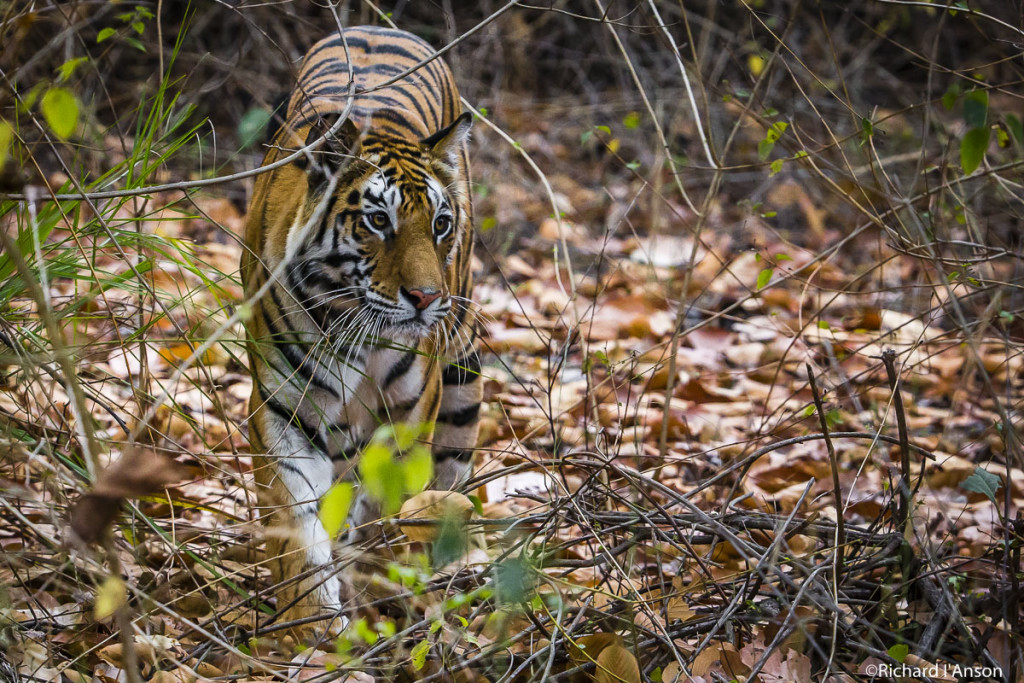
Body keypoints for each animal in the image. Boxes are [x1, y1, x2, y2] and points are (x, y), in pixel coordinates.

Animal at [239, 28, 479, 634]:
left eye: (441, 224)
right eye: (378, 221)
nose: (426, 298)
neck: (356, 329)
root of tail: (382, 28)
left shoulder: (410, 414)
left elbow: (382, 504)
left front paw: (373, 586)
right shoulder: (282, 412)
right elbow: (298, 524)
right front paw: (313, 624)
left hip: (461, 376)